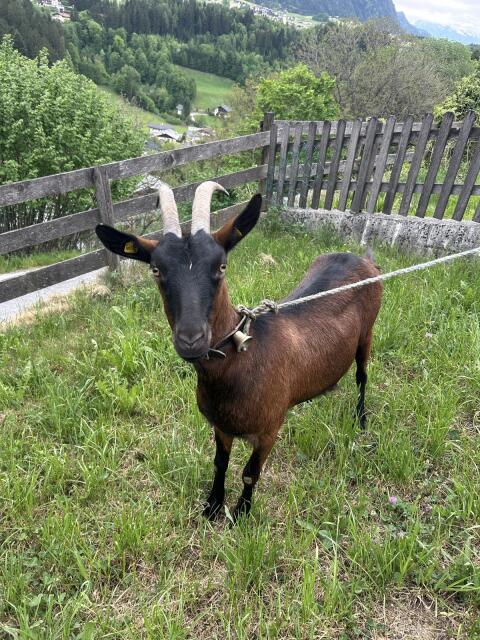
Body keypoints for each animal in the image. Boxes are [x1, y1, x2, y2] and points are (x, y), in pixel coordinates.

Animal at [95, 182, 383, 522]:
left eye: (221, 266)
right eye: (155, 269)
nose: (191, 339)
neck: (242, 358)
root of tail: (364, 259)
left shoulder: (269, 429)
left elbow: (249, 473)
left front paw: (242, 513)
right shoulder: (221, 425)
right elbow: (220, 463)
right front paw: (212, 506)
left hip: (367, 334)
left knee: (362, 376)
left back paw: (361, 420)